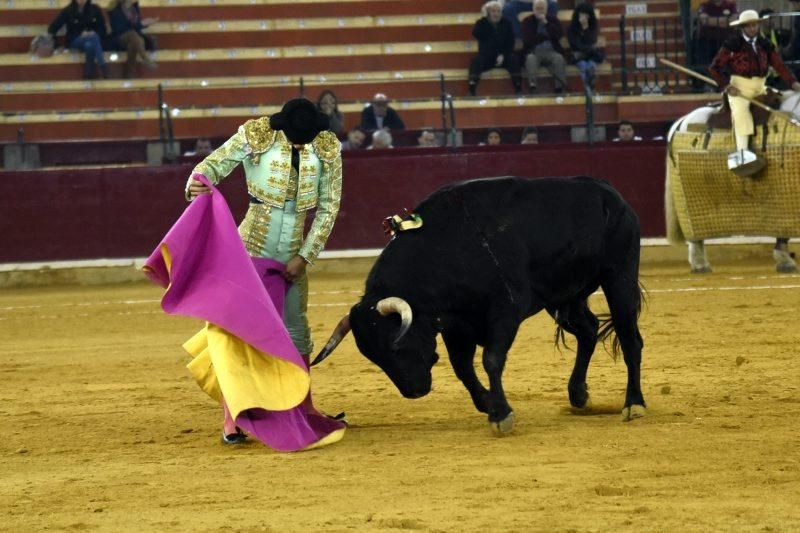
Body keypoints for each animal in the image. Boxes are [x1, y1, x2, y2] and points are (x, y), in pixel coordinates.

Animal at [312, 176, 644, 432]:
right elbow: (462, 367)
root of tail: (608, 192)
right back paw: (578, 395)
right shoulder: (455, 324)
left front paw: (501, 415)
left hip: (619, 275)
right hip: (565, 296)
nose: (415, 391)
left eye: (395, 347)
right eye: (373, 357)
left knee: (630, 339)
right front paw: (488, 404)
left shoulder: (505, 311)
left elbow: (491, 360)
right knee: (588, 330)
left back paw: (634, 404)